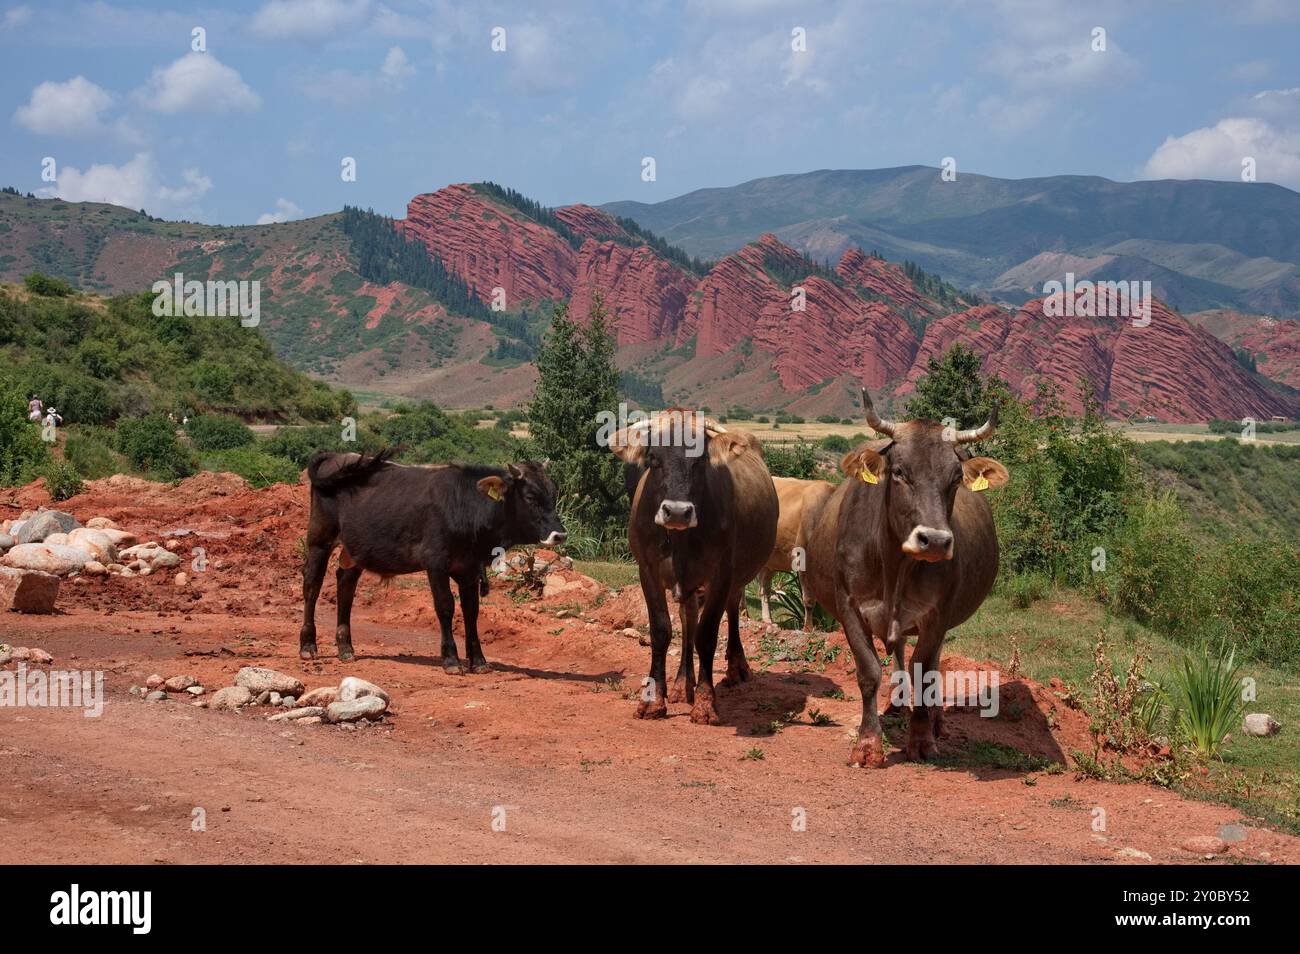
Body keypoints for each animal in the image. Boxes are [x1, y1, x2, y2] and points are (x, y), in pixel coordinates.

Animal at [299, 450, 567, 672]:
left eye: (553, 494)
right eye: (530, 496)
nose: (560, 535)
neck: (467, 507)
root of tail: (338, 456)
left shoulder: (469, 570)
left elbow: (471, 611)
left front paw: (478, 661)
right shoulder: (435, 563)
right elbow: (445, 606)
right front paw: (451, 659)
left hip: (356, 548)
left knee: (345, 583)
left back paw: (345, 647)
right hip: (319, 539)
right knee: (312, 584)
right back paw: (308, 645)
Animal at [611, 410, 778, 725]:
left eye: (700, 460)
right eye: (653, 458)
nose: (677, 511)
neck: (679, 540)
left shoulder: (721, 575)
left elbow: (707, 635)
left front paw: (705, 702)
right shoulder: (647, 571)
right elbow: (662, 630)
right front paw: (654, 699)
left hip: (734, 579)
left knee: (731, 612)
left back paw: (736, 667)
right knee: (687, 619)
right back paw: (681, 684)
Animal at [756, 476, 835, 628]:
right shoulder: (803, 557)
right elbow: (809, 600)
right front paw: (808, 628)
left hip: (770, 561)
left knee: (764, 589)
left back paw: (767, 620)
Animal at [801, 389, 1007, 767]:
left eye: (956, 477)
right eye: (898, 472)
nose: (935, 540)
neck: (894, 567)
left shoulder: (937, 614)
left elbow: (923, 671)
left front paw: (922, 739)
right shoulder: (849, 607)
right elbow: (869, 672)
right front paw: (868, 743)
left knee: (932, 662)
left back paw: (936, 720)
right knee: (897, 652)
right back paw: (896, 703)